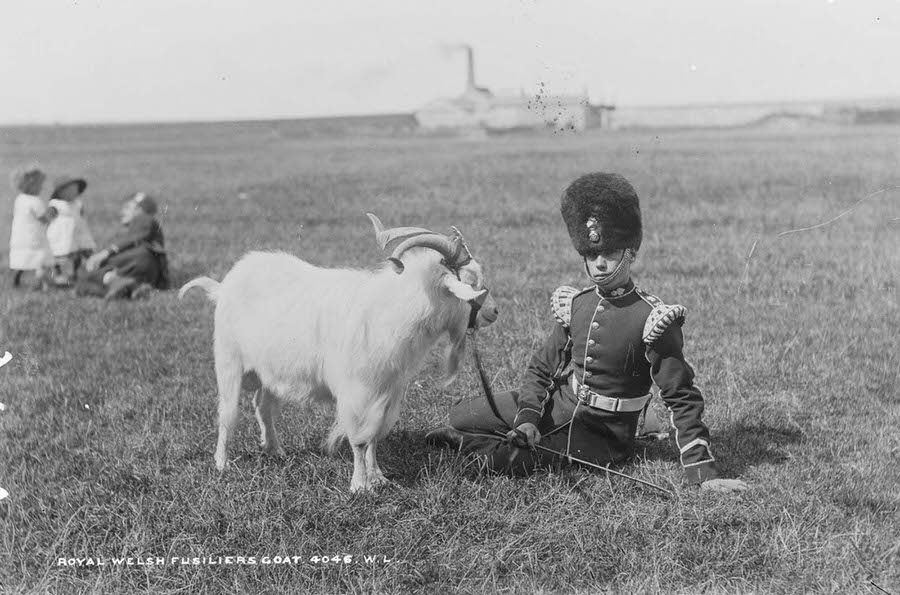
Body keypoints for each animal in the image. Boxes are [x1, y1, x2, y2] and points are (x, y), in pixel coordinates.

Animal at [178, 214, 496, 494]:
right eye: (471, 282)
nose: (494, 311)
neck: (392, 310)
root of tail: (223, 286)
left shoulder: (387, 391)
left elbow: (375, 437)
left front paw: (379, 478)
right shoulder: (358, 392)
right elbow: (359, 440)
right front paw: (359, 486)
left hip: (271, 371)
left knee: (263, 406)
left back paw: (275, 450)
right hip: (229, 361)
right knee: (227, 414)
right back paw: (222, 463)